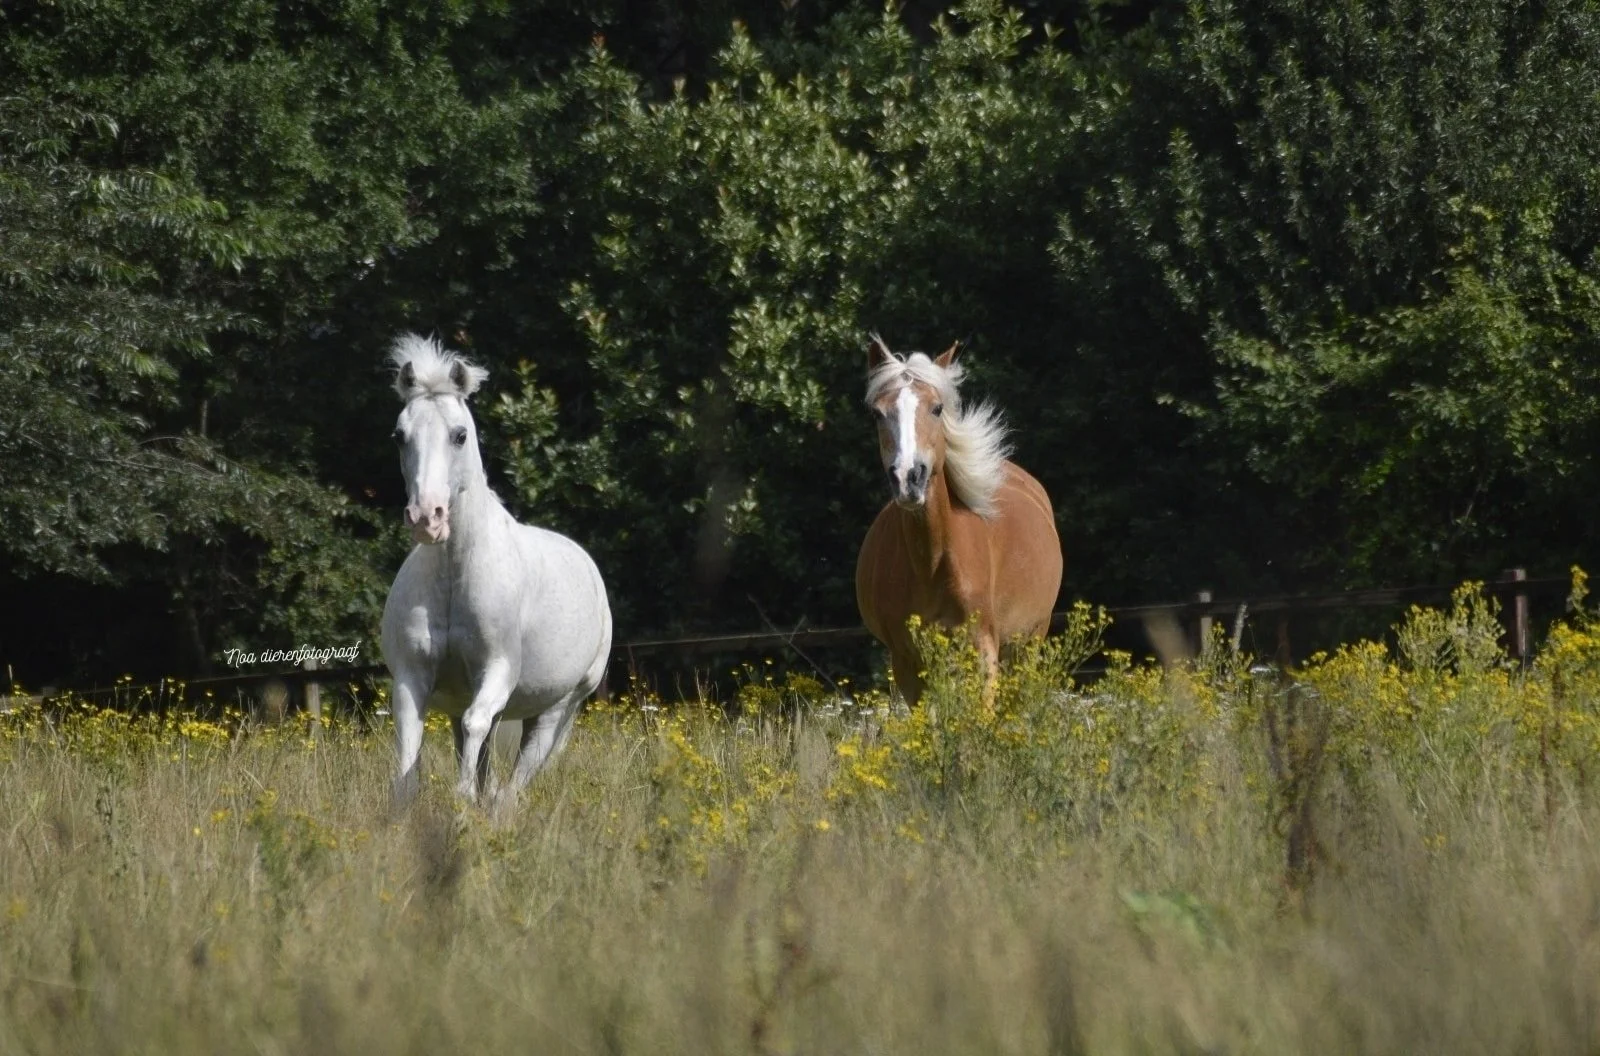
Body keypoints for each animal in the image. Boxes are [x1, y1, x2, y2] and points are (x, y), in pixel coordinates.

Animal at [380, 334, 613, 811]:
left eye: (459, 435)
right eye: (399, 435)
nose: (427, 518)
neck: (455, 574)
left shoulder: (498, 670)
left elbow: (475, 725)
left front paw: (462, 798)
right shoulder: (413, 676)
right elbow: (410, 749)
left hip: (560, 704)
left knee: (522, 769)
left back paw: (498, 807)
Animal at [854, 336, 1063, 707]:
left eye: (937, 408)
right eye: (878, 413)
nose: (908, 478)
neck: (931, 563)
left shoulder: (983, 648)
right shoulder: (906, 660)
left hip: (1029, 641)